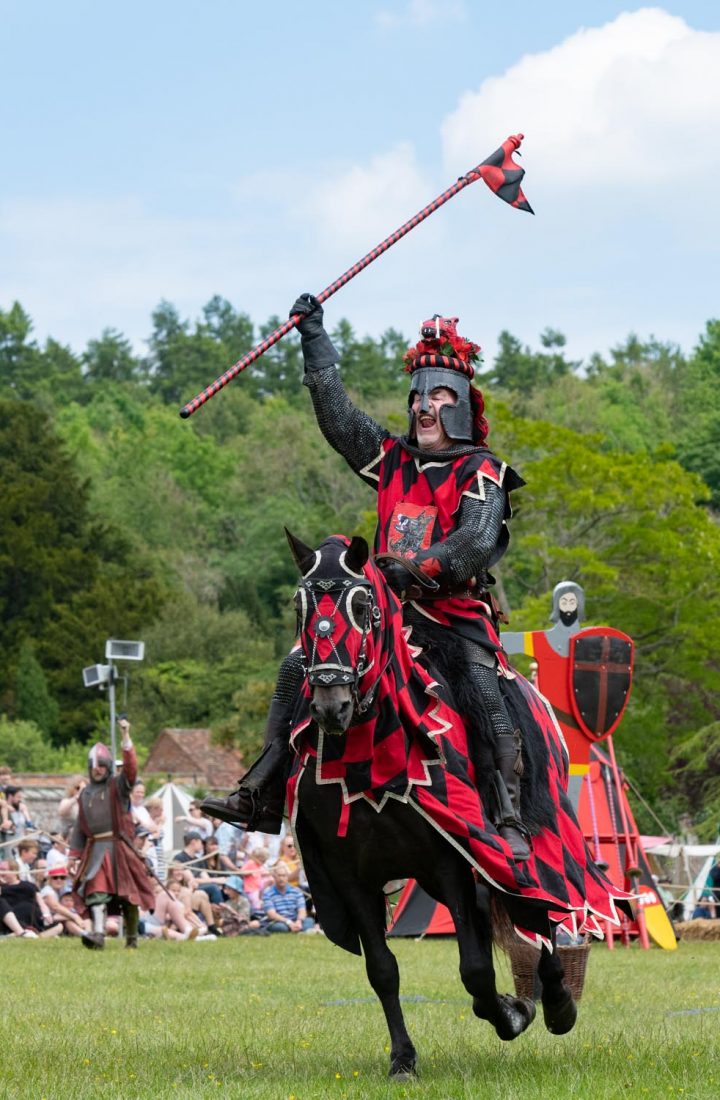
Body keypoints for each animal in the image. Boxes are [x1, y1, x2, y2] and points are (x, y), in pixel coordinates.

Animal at [283, 530, 624, 1073]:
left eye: (364, 606)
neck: (371, 760)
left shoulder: (450, 860)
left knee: (540, 910)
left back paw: (557, 1003)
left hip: (517, 849)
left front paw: (513, 1014)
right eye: (300, 606)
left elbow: (477, 970)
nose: (330, 705)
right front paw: (403, 1058)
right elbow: (383, 970)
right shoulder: (348, 872)